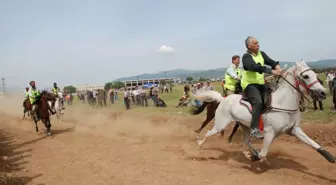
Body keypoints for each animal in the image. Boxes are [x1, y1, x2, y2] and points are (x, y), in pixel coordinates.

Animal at [193, 60, 334, 163]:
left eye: (315, 75)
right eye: (305, 76)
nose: (323, 93)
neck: (283, 103)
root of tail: (223, 99)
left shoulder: (294, 129)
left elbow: (313, 143)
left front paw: (330, 157)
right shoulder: (269, 133)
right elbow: (263, 154)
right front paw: (256, 156)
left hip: (245, 126)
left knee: (246, 141)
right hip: (221, 124)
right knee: (208, 133)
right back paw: (199, 145)